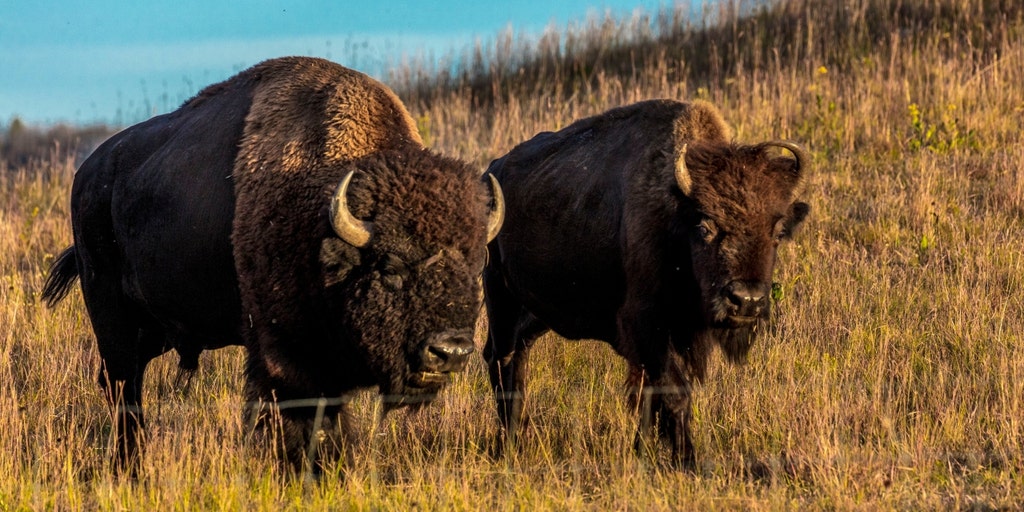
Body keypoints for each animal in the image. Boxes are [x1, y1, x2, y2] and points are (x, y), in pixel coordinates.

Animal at [42, 56, 504, 471]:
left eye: (473, 266)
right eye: (390, 267)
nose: (449, 351)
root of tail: (87, 174)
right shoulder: (282, 352)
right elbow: (300, 413)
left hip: (155, 330)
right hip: (109, 311)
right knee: (122, 386)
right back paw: (128, 466)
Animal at [482, 99, 809, 467]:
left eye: (778, 232)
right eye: (705, 226)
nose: (746, 300)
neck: (675, 215)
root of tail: (492, 170)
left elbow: (652, 398)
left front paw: (645, 452)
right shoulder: (648, 327)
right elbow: (673, 392)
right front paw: (687, 461)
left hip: (537, 313)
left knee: (516, 357)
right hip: (500, 298)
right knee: (501, 360)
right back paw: (508, 443)